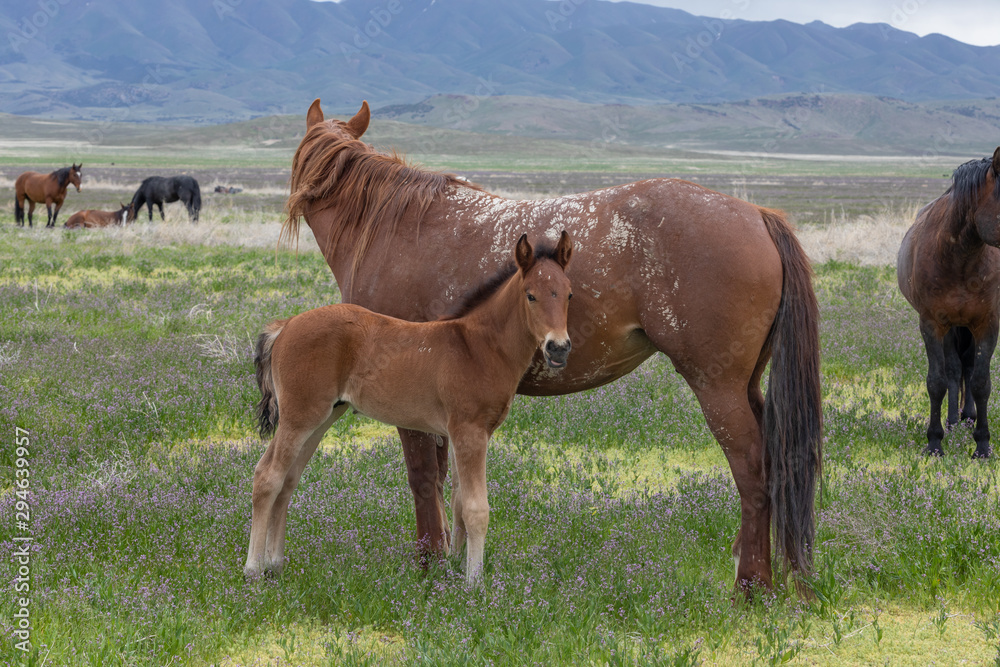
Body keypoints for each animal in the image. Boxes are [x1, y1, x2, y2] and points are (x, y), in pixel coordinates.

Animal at [247, 232, 576, 580]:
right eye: (531, 296)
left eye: (569, 294)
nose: (558, 348)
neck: (477, 348)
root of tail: (286, 325)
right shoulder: (470, 432)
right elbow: (477, 509)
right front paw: (475, 583)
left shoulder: (464, 434)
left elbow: (459, 503)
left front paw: (454, 567)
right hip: (299, 417)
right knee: (267, 477)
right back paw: (253, 569)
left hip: (321, 418)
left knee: (288, 480)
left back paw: (275, 564)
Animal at [286, 98, 824, 588]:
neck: (393, 228)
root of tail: (756, 214)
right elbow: (443, 482)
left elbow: (423, 480)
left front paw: (429, 567)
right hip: (747, 385)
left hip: (718, 387)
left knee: (752, 472)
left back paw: (751, 588)